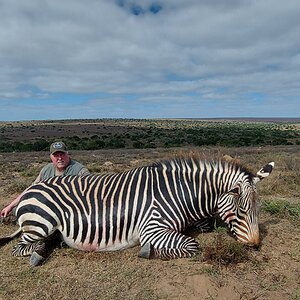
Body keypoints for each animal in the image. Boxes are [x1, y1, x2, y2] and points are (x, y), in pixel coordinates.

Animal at [0, 157, 274, 264]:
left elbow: (204, 225)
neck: (178, 194)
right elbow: (192, 245)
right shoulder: (152, 228)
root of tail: (29, 188)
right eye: (242, 211)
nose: (255, 244)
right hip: (40, 223)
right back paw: (40, 252)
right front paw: (148, 252)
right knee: (21, 248)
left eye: (258, 209)